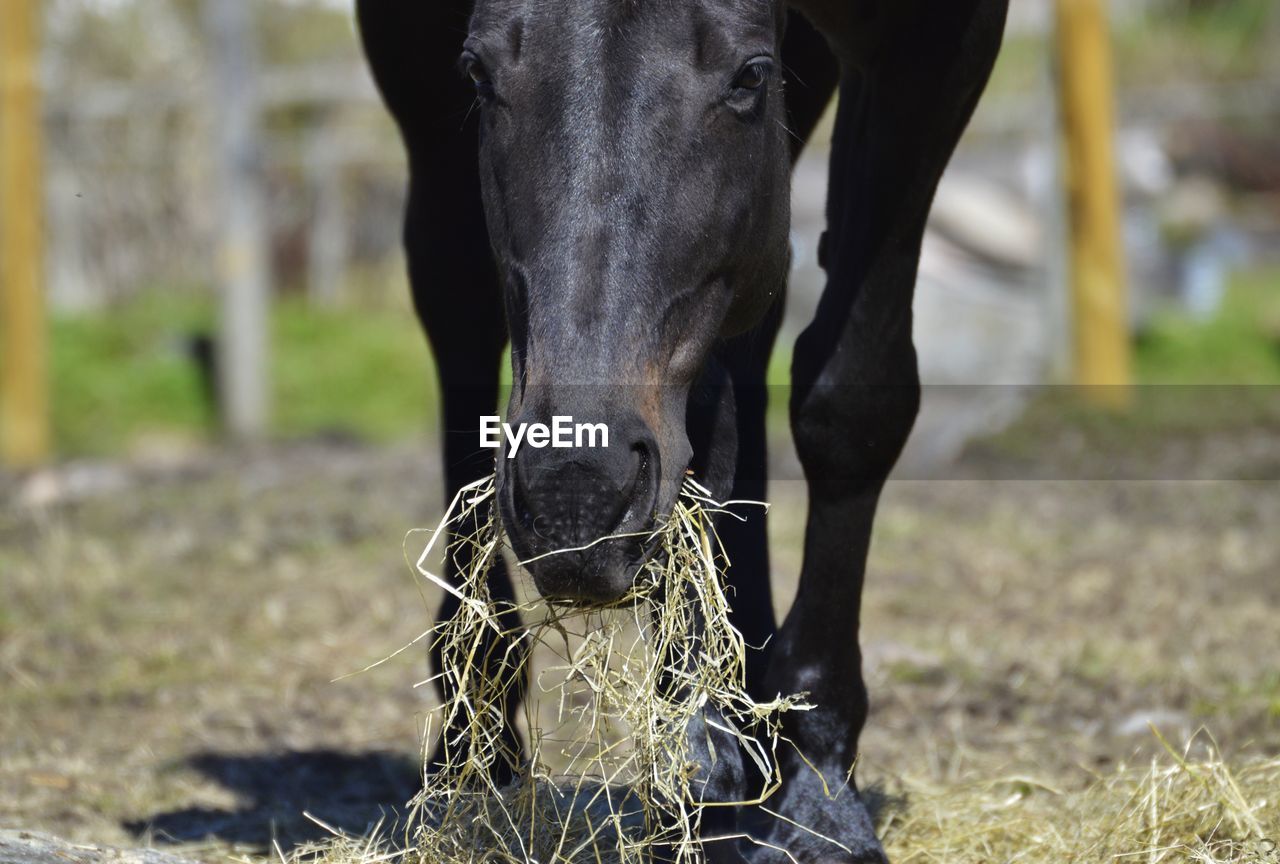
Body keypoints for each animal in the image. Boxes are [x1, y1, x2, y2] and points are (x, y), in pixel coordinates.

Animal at [355, 3, 1003, 860]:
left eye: (750, 75)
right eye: (479, 73)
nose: (574, 504)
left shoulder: (936, 49)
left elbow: (851, 401)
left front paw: (815, 797)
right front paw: (705, 772)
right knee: (457, 299)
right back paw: (477, 747)